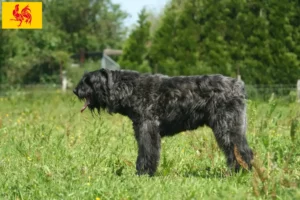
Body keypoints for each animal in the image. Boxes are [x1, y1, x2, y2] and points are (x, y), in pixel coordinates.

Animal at [72, 69, 253, 176]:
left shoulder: (147, 129)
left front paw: (143, 173)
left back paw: (241, 171)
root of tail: (238, 85)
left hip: (227, 127)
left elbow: (147, 152)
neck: (129, 89)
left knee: (240, 150)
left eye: (89, 80)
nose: (75, 90)